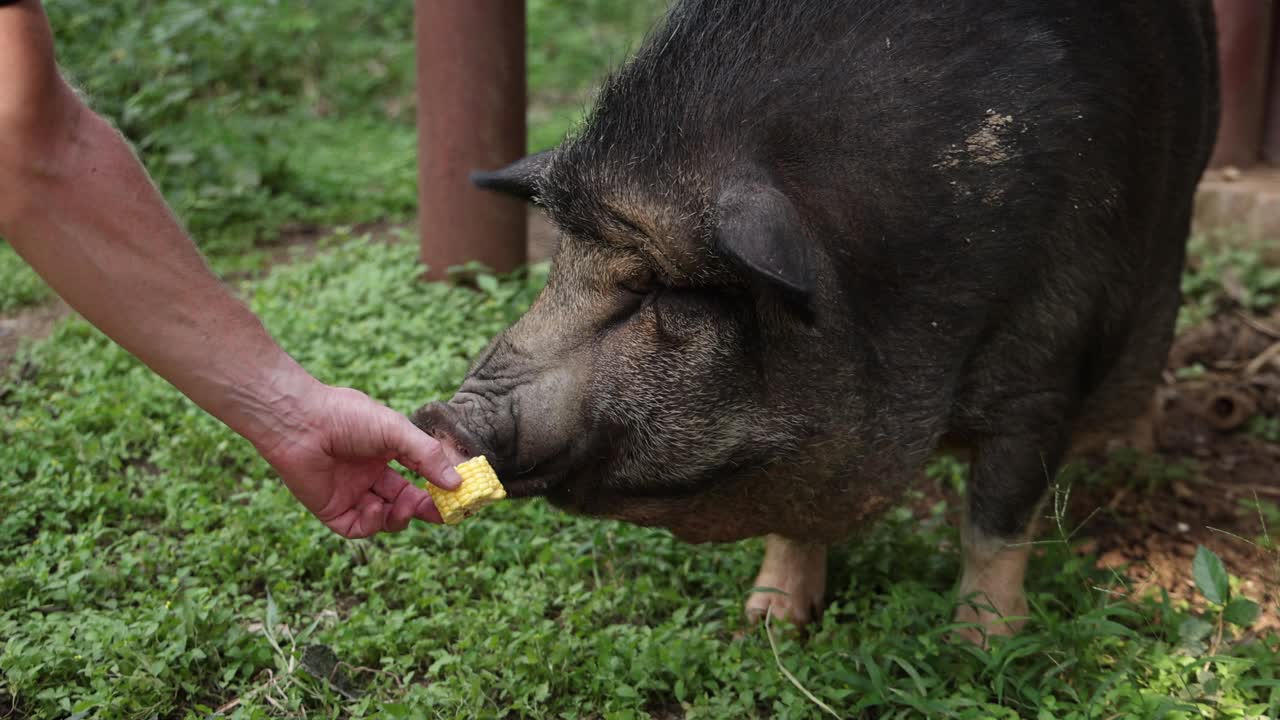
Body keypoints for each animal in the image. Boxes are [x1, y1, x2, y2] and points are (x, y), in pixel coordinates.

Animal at [417, 0, 1218, 638]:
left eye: (661, 293)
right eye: (556, 266)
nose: (441, 414)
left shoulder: (1041, 378)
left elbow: (992, 526)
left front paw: (982, 651)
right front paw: (768, 621)